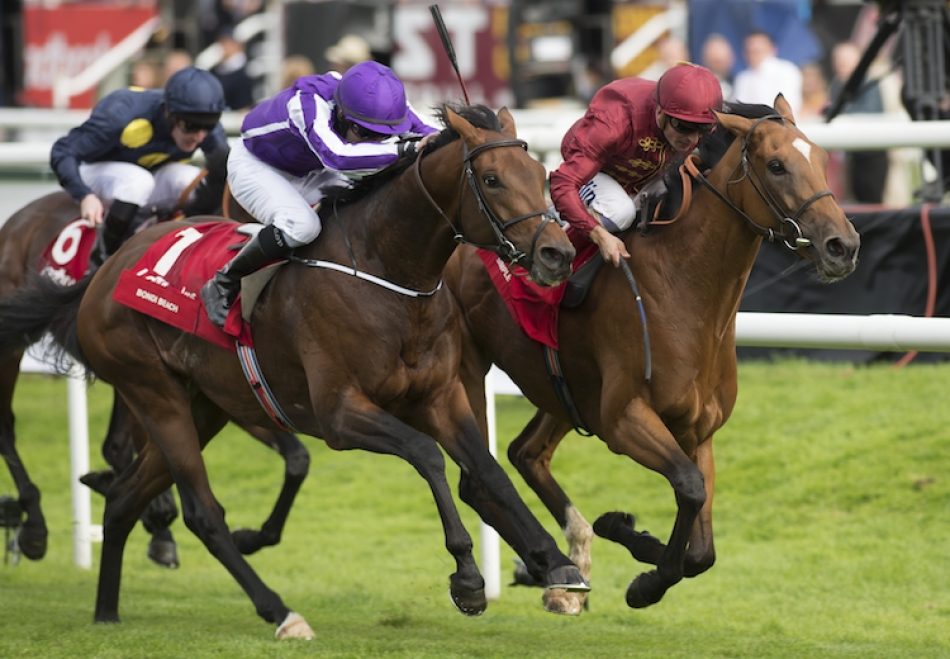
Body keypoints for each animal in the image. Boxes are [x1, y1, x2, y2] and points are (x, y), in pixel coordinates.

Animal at [0, 191, 310, 567]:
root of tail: (18, 218)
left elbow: (297, 459)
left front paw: (250, 536)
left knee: (115, 443)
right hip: (17, 347)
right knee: (7, 425)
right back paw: (35, 526)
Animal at [444, 97, 861, 615]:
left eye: (822, 158)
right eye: (777, 165)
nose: (843, 246)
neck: (683, 288)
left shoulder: (698, 431)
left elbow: (702, 548)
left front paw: (630, 543)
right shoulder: (624, 420)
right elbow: (688, 487)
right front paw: (641, 573)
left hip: (564, 391)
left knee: (526, 453)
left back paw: (565, 567)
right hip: (467, 370)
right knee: (478, 475)